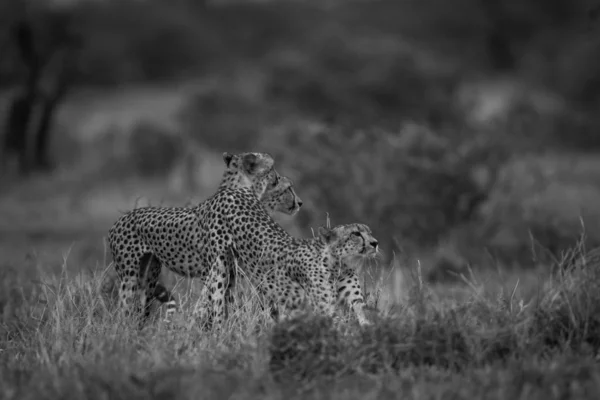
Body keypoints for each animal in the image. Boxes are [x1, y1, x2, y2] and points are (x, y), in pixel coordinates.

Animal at [106, 152, 298, 324]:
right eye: (272, 168)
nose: (300, 203)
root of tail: (119, 220)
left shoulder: (230, 273)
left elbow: (228, 304)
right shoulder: (213, 272)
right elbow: (215, 304)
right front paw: (216, 331)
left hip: (149, 276)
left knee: (142, 308)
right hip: (129, 277)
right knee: (124, 309)